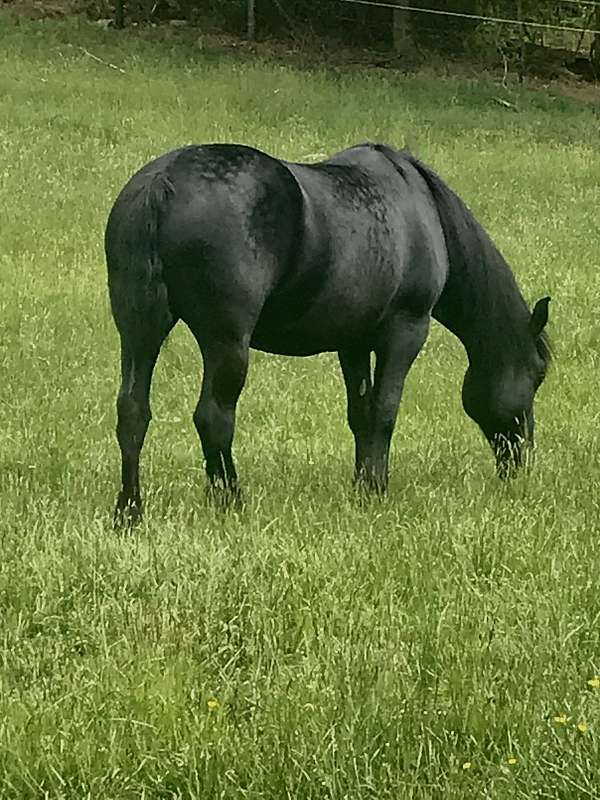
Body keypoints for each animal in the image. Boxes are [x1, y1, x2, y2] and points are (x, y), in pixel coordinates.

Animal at [105, 142, 551, 525]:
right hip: (226, 341)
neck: (420, 209)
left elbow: (361, 413)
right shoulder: (406, 329)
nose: (521, 460)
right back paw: (230, 500)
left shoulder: (352, 342)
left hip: (139, 332)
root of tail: (163, 183)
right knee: (213, 417)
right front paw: (377, 489)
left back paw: (129, 511)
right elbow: (385, 411)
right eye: (537, 375)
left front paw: (362, 486)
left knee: (133, 413)